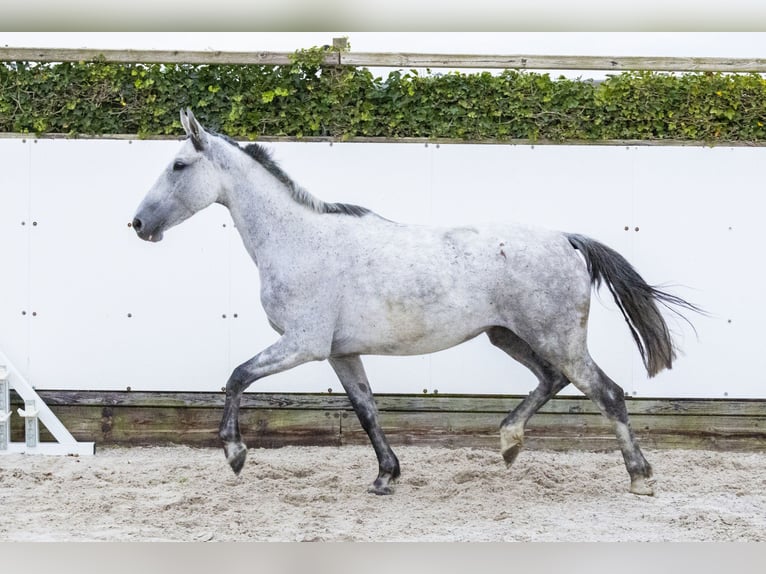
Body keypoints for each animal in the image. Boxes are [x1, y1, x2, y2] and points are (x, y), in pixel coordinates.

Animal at [134, 110, 704, 498]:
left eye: (179, 164)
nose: (138, 224)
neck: (299, 240)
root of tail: (567, 239)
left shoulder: (303, 344)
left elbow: (235, 377)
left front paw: (235, 455)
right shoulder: (341, 353)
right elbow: (366, 410)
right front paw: (386, 477)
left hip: (556, 338)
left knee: (607, 393)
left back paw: (640, 478)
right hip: (510, 335)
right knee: (552, 380)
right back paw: (509, 443)